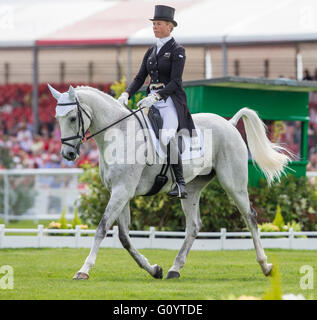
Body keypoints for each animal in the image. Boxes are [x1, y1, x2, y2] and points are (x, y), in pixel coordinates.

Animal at [48, 84, 290, 280]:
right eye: (57, 119)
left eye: (72, 118)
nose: (68, 154)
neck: (120, 133)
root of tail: (229, 123)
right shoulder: (121, 192)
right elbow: (124, 237)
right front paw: (154, 269)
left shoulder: (121, 191)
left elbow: (101, 228)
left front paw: (84, 270)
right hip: (192, 188)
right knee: (194, 226)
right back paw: (174, 269)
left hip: (234, 184)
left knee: (250, 217)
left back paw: (266, 266)